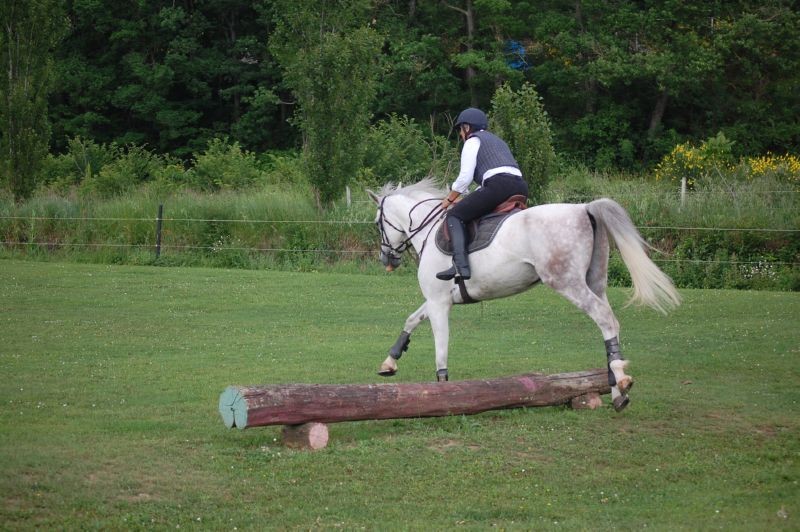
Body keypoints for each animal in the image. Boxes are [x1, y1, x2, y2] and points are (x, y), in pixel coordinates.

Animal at [367, 178, 681, 412]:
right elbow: (411, 319)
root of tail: (584, 208)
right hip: (595, 282)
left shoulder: (438, 301)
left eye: (377, 223)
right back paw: (617, 390)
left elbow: (440, 346)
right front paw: (390, 361)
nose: (386, 260)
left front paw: (444, 390)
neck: (427, 228)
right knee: (609, 322)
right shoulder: (439, 299)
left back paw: (621, 379)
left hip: (567, 282)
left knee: (606, 319)